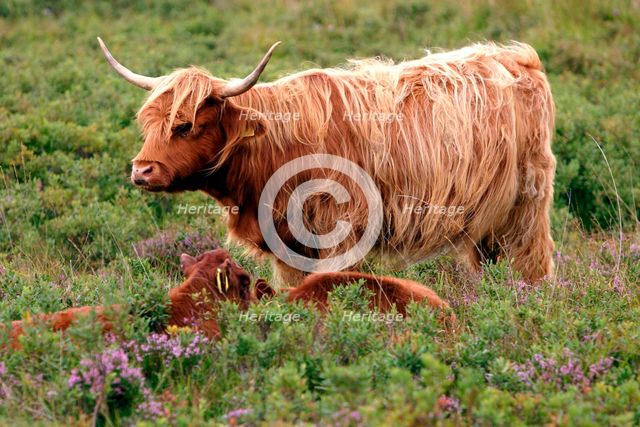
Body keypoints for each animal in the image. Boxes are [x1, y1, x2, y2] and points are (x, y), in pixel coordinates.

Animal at [97, 38, 556, 286]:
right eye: (148, 123)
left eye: (185, 125)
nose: (141, 171)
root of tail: (517, 59)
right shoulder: (287, 247)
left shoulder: (341, 232)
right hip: (487, 220)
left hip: (526, 207)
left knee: (532, 261)